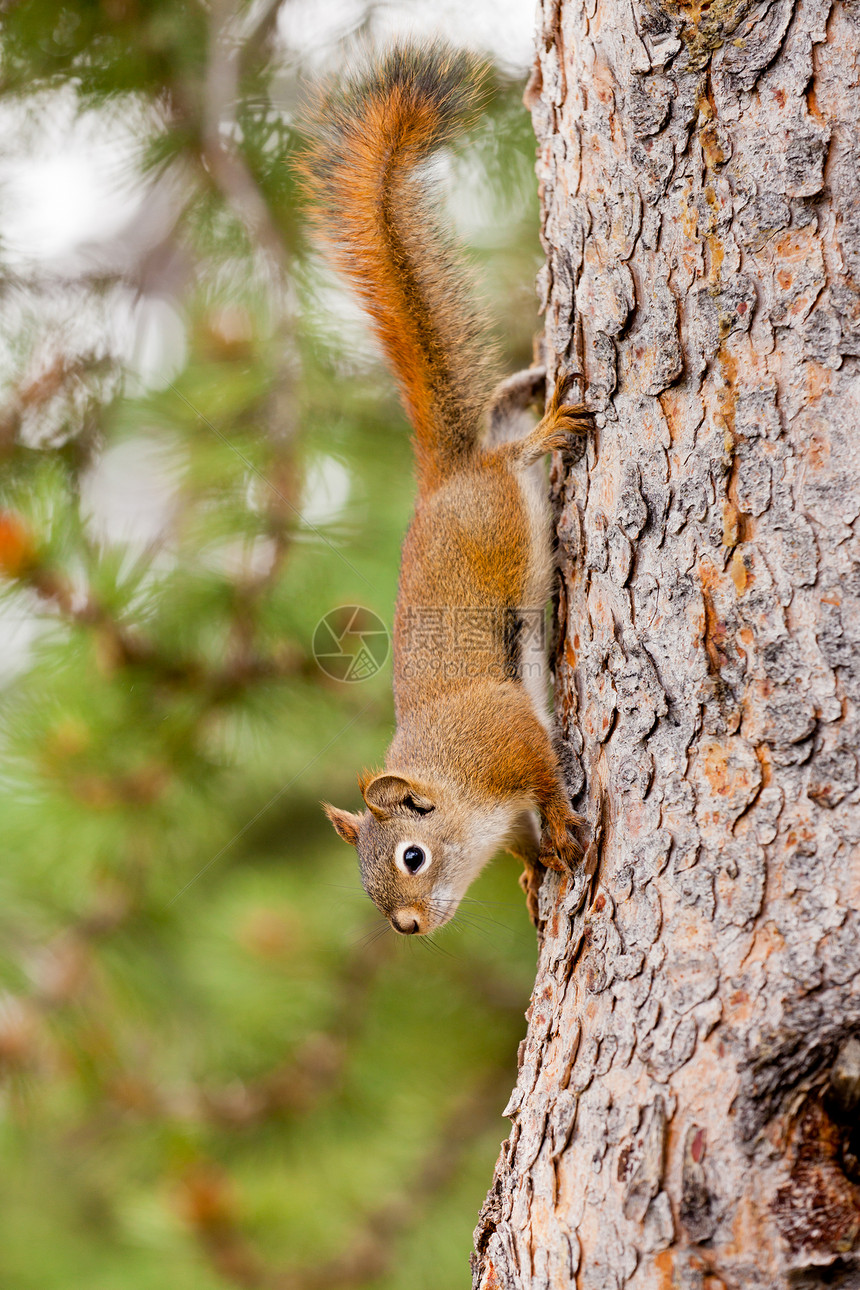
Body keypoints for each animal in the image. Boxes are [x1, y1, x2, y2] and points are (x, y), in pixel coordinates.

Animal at [297, 37, 593, 928]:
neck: (459, 788)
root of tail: (442, 480)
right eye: (372, 887)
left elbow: (543, 776)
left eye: (412, 857)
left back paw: (543, 428)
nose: (408, 926)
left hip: (494, 501)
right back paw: (528, 385)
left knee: (509, 459)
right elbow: (527, 842)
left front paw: (562, 824)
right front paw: (535, 869)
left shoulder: (504, 731)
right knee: (494, 413)